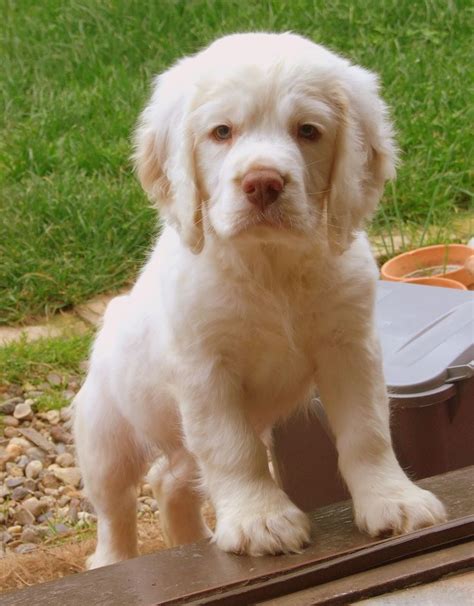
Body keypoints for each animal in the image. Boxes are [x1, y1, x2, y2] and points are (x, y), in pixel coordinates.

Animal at [73, 32, 444, 568]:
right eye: (221, 132)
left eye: (308, 131)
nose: (263, 182)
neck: (270, 266)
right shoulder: (206, 370)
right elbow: (234, 449)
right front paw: (259, 521)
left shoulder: (350, 349)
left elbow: (367, 432)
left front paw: (393, 500)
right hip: (106, 436)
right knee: (115, 508)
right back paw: (113, 561)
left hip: (173, 444)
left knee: (171, 480)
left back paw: (192, 539)